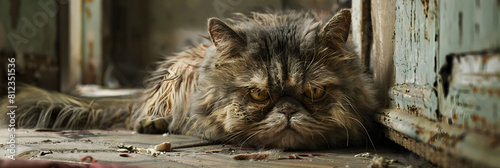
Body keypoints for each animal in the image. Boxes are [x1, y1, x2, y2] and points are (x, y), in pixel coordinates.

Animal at [0, 9, 376, 150]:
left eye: (314, 92)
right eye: (257, 94)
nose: (286, 111)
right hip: (174, 75)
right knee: (138, 115)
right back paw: (153, 123)